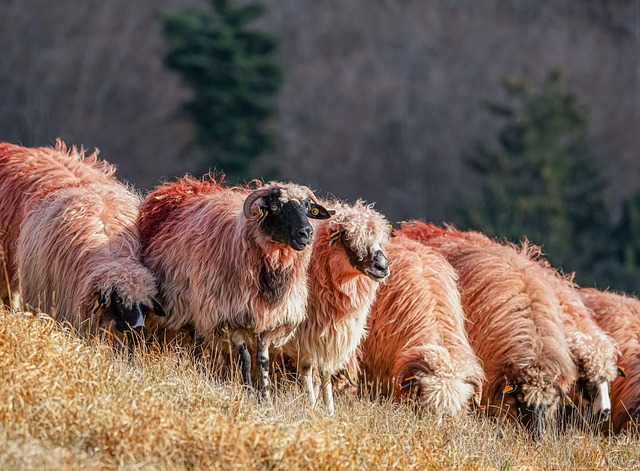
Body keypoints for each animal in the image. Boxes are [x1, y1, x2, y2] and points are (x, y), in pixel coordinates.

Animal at [138, 175, 332, 399]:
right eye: (275, 206)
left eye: (307, 206)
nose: (306, 233)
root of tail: (186, 186)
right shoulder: (231, 315)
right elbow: (245, 359)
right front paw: (250, 393)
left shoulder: (268, 319)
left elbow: (263, 362)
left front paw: (265, 397)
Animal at [280, 199, 391, 413]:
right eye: (348, 238)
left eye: (379, 240)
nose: (383, 267)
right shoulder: (304, 333)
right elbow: (307, 367)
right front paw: (312, 405)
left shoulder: (329, 333)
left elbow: (325, 372)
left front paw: (329, 410)